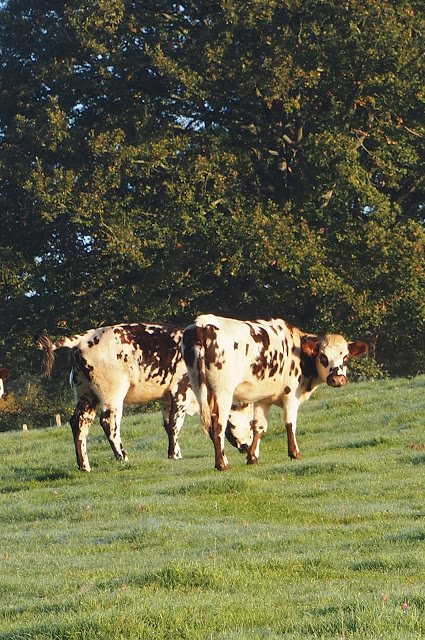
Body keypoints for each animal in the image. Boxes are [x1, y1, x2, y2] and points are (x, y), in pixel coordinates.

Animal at [35, 320, 252, 470]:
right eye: (250, 423)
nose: (247, 448)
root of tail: (84, 338)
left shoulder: (167, 400)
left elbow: (168, 425)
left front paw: (176, 453)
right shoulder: (180, 392)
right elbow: (176, 424)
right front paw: (174, 455)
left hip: (85, 394)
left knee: (79, 424)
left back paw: (84, 466)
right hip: (112, 394)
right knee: (109, 423)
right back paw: (123, 457)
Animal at [182, 314, 368, 470]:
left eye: (345, 357)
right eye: (323, 356)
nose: (337, 379)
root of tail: (202, 324)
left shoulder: (263, 398)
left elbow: (259, 427)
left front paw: (252, 458)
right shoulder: (291, 394)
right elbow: (290, 423)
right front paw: (294, 453)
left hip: (201, 389)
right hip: (223, 392)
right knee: (218, 426)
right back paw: (223, 464)